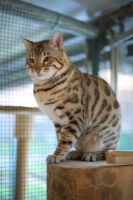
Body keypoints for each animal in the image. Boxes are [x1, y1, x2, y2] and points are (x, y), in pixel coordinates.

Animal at [20, 30, 120, 163]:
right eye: (31, 60)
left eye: (47, 58)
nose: (37, 69)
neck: (44, 88)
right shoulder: (57, 121)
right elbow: (60, 137)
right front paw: (62, 155)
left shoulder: (75, 115)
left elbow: (65, 139)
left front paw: (57, 156)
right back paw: (76, 153)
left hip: (103, 136)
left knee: (107, 152)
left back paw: (92, 154)